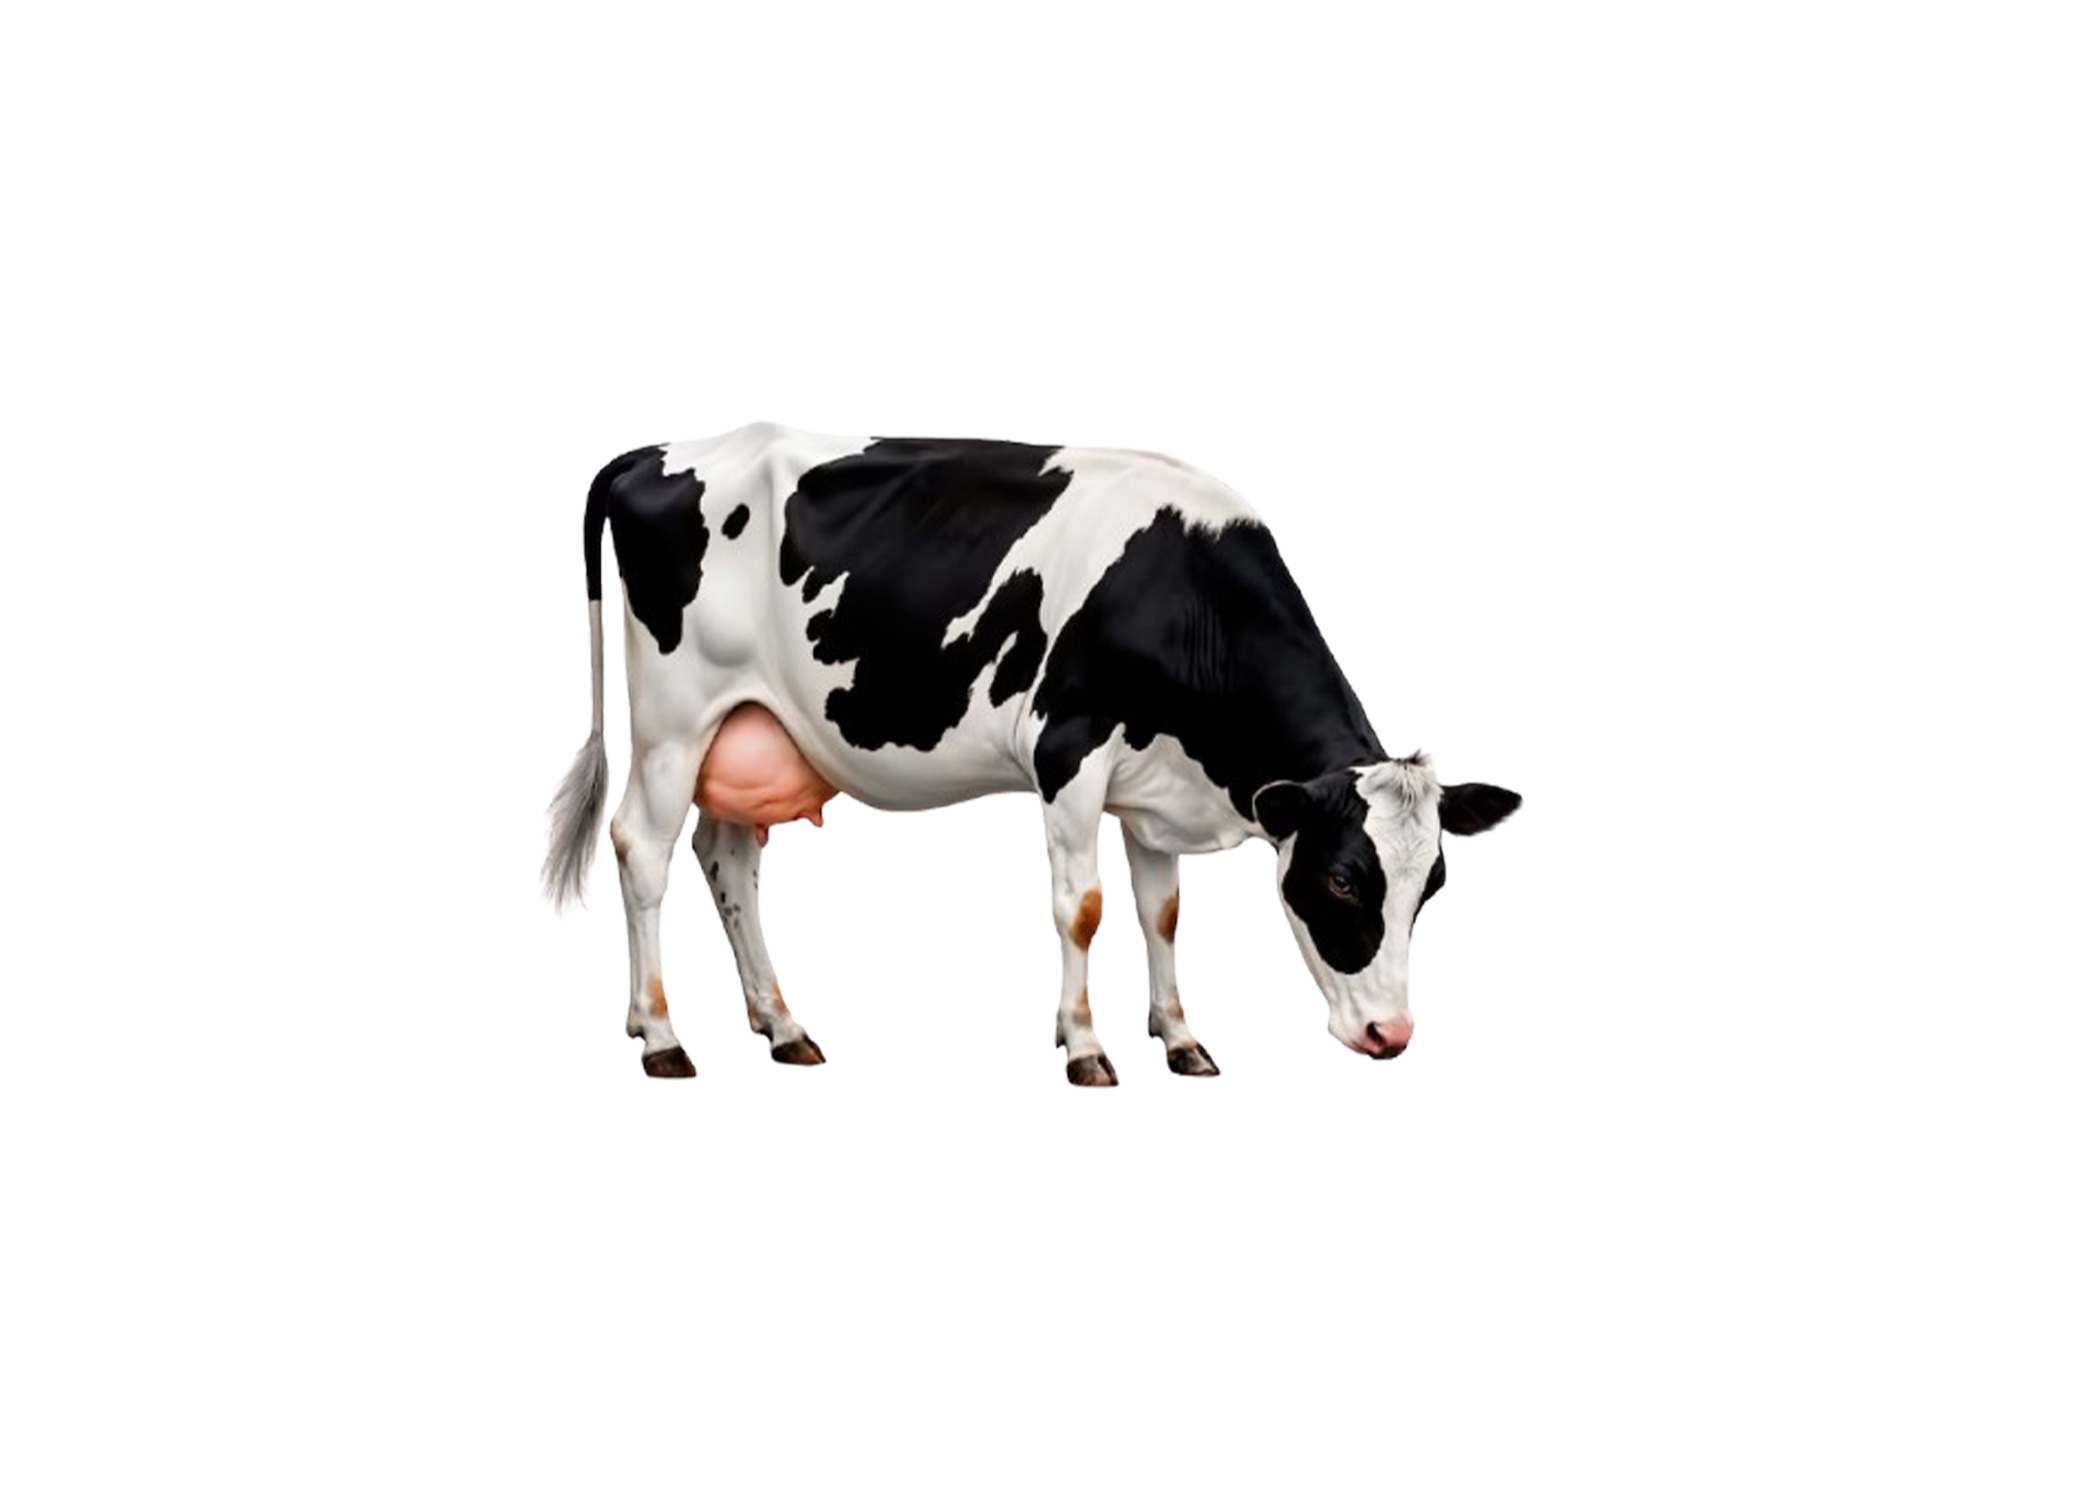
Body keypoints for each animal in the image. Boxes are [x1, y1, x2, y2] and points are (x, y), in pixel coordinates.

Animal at [539, 423, 1524, 1086]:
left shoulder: (1152, 788)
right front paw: (1085, 1047)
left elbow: (1164, 914)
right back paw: (663, 1038)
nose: (1391, 1038)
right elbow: (1083, 910)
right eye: (1345, 880)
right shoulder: (1069, 748)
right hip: (674, 720)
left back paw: (781, 1027)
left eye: (1431, 885)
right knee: (641, 849)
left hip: (749, 726)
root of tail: (657, 454)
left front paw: (1180, 1038)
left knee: (726, 856)